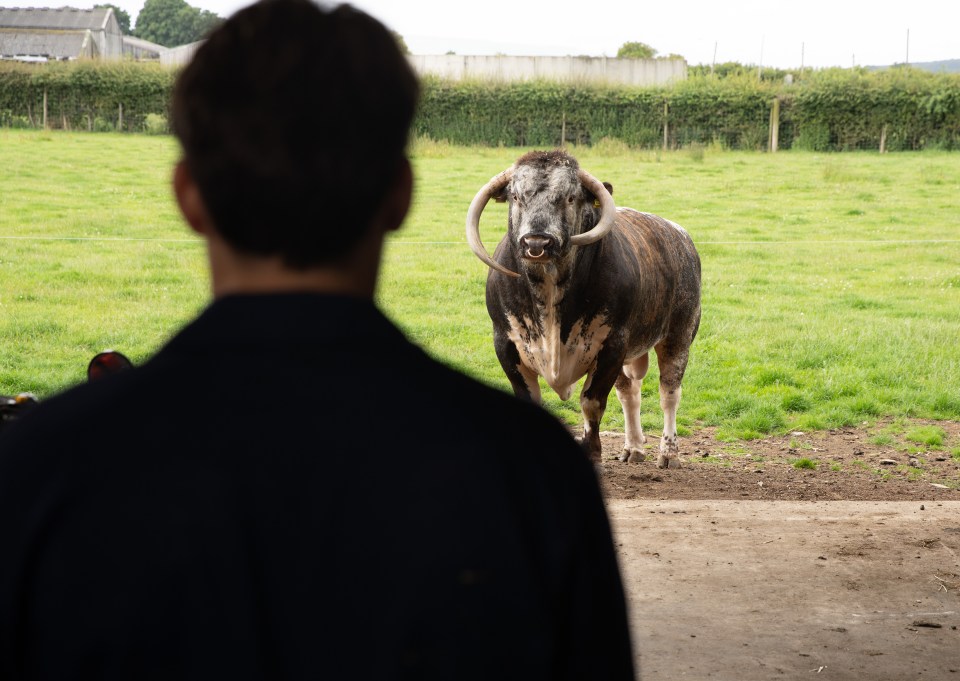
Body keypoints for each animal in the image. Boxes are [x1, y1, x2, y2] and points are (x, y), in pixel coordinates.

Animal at [468, 150, 700, 468]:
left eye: (569, 197)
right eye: (516, 196)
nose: (536, 242)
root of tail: (681, 237)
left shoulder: (612, 345)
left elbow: (591, 402)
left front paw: (592, 451)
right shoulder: (505, 342)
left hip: (678, 337)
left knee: (669, 394)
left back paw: (668, 452)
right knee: (630, 394)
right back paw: (633, 448)